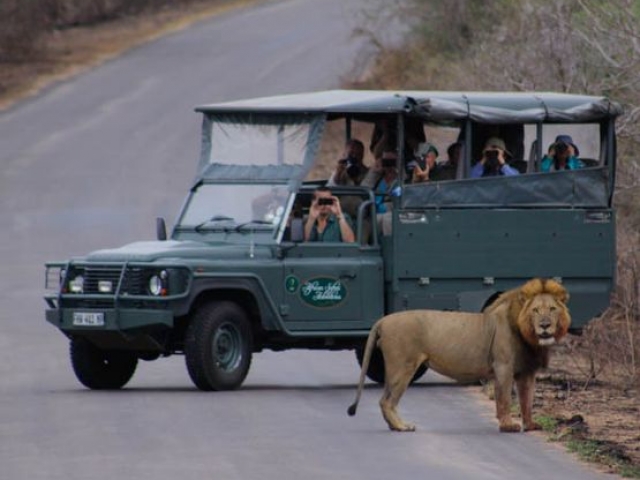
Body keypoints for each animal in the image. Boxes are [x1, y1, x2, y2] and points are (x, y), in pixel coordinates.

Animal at [348, 278, 572, 432]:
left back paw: (395, 426)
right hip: (403, 367)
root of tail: (383, 320)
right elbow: (505, 399)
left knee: (385, 400)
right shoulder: (503, 366)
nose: (545, 325)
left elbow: (527, 401)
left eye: (552, 309)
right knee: (386, 401)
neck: (527, 334)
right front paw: (508, 426)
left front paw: (531, 425)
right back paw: (401, 426)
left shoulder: (526, 372)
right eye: (536, 310)